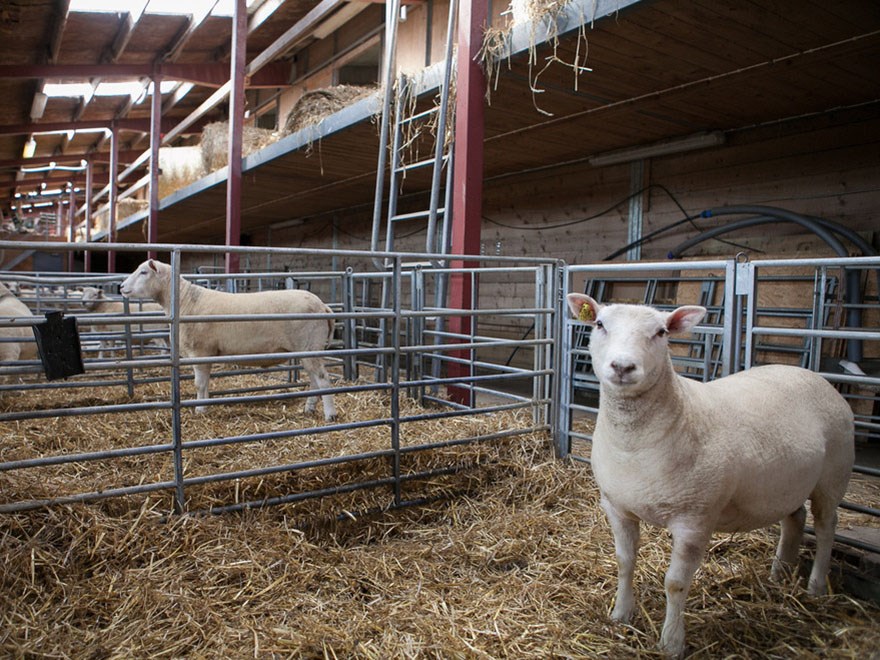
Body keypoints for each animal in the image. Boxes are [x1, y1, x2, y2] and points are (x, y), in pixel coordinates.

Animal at [118, 258, 336, 418]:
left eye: (143, 272)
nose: (120, 286)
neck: (185, 301)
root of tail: (322, 306)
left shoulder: (200, 350)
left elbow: (199, 383)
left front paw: (199, 410)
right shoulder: (207, 354)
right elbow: (205, 383)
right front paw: (204, 406)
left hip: (310, 345)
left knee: (323, 379)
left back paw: (330, 414)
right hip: (308, 349)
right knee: (314, 380)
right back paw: (309, 408)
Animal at [568, 296, 856, 660]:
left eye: (661, 332)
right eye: (599, 324)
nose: (622, 366)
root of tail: (813, 375)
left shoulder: (694, 519)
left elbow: (675, 583)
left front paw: (671, 642)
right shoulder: (616, 506)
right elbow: (623, 562)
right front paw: (620, 614)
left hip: (833, 475)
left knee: (826, 527)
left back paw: (816, 586)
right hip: (789, 482)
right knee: (795, 519)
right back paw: (779, 574)